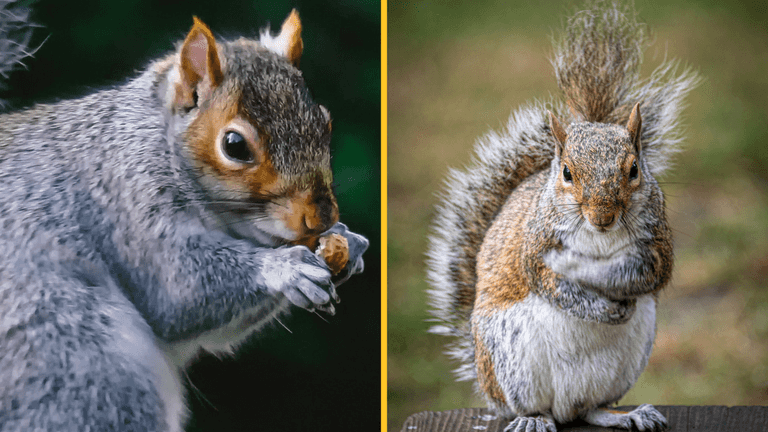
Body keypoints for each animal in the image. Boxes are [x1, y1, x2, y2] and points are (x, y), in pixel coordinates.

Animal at [0, 4, 368, 432]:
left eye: (325, 122)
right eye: (234, 145)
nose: (321, 218)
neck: (157, 141)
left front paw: (348, 242)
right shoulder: (124, 201)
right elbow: (178, 294)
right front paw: (286, 269)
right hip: (79, 369)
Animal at [426, 2, 699, 431]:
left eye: (634, 169)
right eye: (567, 173)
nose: (602, 216)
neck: (599, 238)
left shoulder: (657, 246)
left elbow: (647, 273)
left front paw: (588, 271)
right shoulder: (534, 246)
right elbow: (551, 282)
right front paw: (587, 288)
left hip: (626, 359)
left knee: (591, 408)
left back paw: (626, 414)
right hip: (510, 359)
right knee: (533, 406)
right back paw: (534, 419)